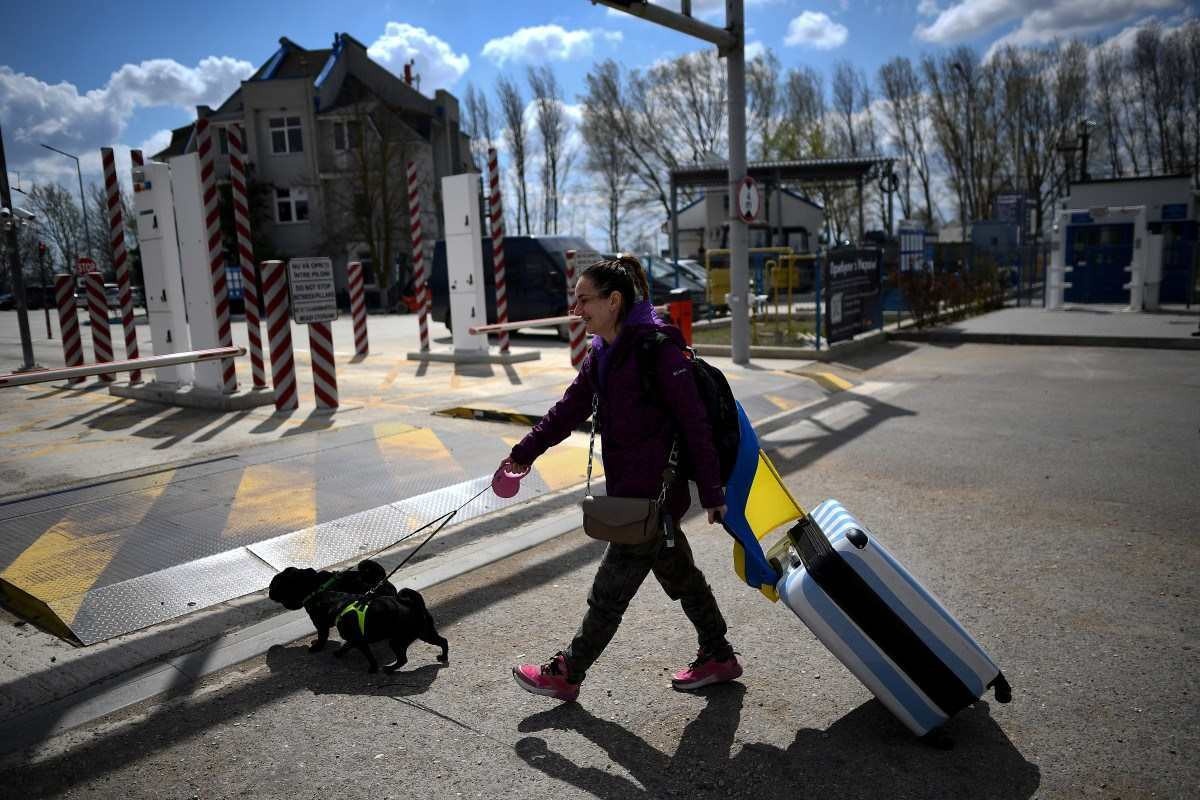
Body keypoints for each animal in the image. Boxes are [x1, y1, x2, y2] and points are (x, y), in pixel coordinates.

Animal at [267, 561, 398, 652]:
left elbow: (322, 636)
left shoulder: (320, 622)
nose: (269, 593)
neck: (311, 585)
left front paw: (317, 647)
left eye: (272, 586)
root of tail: (382, 580)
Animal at [304, 585, 451, 671]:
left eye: (312, 613)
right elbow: (346, 646)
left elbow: (369, 656)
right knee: (443, 641)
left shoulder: (360, 642)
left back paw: (390, 669)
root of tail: (415, 605)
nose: (315, 624)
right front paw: (339, 653)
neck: (338, 604)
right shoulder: (355, 640)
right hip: (424, 633)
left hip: (398, 641)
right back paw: (443, 657)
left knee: (403, 659)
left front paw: (373, 668)